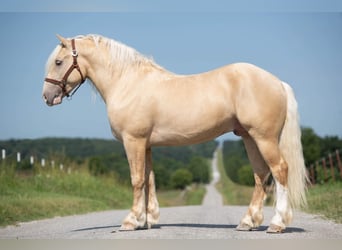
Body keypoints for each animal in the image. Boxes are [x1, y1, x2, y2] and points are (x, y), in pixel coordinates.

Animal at [42, 34, 308, 233]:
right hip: (250, 138)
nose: (47, 97)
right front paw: (146, 221)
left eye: (58, 62)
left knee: (279, 170)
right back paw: (247, 222)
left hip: (264, 138)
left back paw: (276, 224)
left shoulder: (133, 141)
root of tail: (277, 82)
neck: (127, 82)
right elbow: (149, 179)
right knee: (260, 175)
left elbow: (137, 180)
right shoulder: (146, 144)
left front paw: (130, 221)